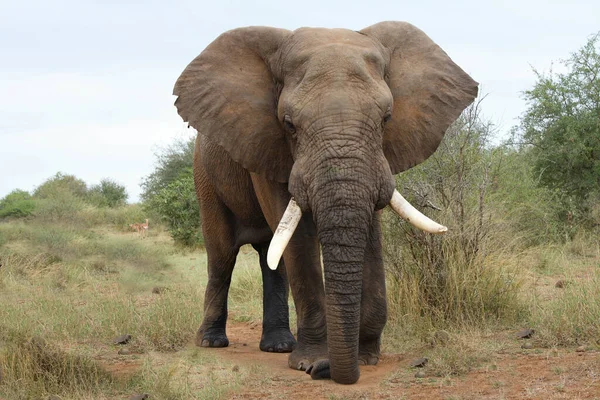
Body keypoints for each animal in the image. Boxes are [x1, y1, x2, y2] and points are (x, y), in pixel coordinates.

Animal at [173, 21, 478, 384]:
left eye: (386, 118)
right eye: (289, 124)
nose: (326, 370)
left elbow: (369, 232)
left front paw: (364, 357)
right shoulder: (265, 141)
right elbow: (299, 237)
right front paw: (311, 361)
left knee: (271, 260)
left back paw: (279, 346)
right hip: (204, 176)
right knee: (222, 255)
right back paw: (212, 342)